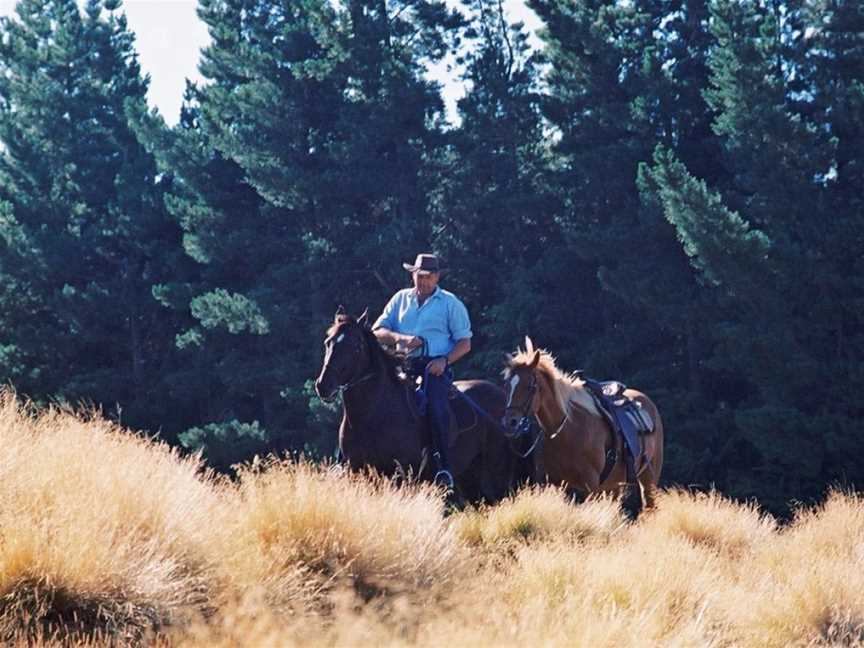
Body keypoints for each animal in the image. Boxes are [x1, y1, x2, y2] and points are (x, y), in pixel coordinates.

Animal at [314, 306, 528, 504]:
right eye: (328, 342)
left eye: (355, 346)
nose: (323, 385)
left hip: (497, 475)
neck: (371, 416)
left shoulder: (400, 474)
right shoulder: (358, 472)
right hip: (470, 478)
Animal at [500, 340, 660, 516]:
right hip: (614, 485)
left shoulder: (591, 485)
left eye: (530, 386)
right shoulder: (556, 483)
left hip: (649, 478)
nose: (510, 423)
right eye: (507, 386)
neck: (568, 430)